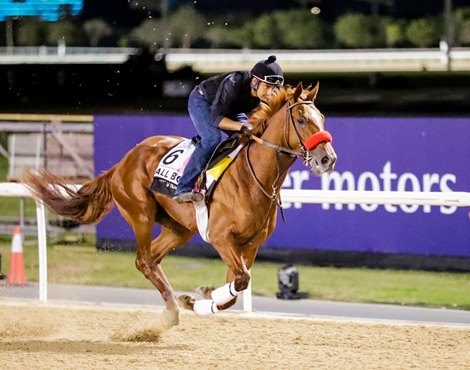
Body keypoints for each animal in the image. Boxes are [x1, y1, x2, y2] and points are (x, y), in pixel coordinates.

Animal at [23, 83, 336, 326]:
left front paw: (202, 296)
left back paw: (174, 303)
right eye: (301, 119)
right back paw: (172, 309)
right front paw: (199, 297)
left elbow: (236, 288)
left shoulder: (249, 246)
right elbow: (240, 281)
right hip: (140, 213)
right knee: (143, 260)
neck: (253, 176)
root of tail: (121, 163)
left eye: (321, 116)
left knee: (153, 259)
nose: (328, 158)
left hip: (179, 228)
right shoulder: (222, 238)